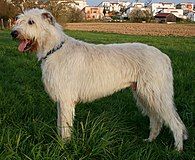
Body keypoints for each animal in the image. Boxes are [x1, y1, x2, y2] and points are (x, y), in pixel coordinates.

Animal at [11, 8, 187, 151]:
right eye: (18, 19)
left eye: (31, 22)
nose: (13, 33)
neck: (54, 49)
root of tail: (164, 57)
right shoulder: (62, 101)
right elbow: (60, 123)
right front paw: (61, 142)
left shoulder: (66, 99)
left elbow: (65, 126)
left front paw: (63, 146)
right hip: (144, 94)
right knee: (156, 119)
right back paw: (150, 140)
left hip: (155, 93)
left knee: (175, 122)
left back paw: (177, 149)